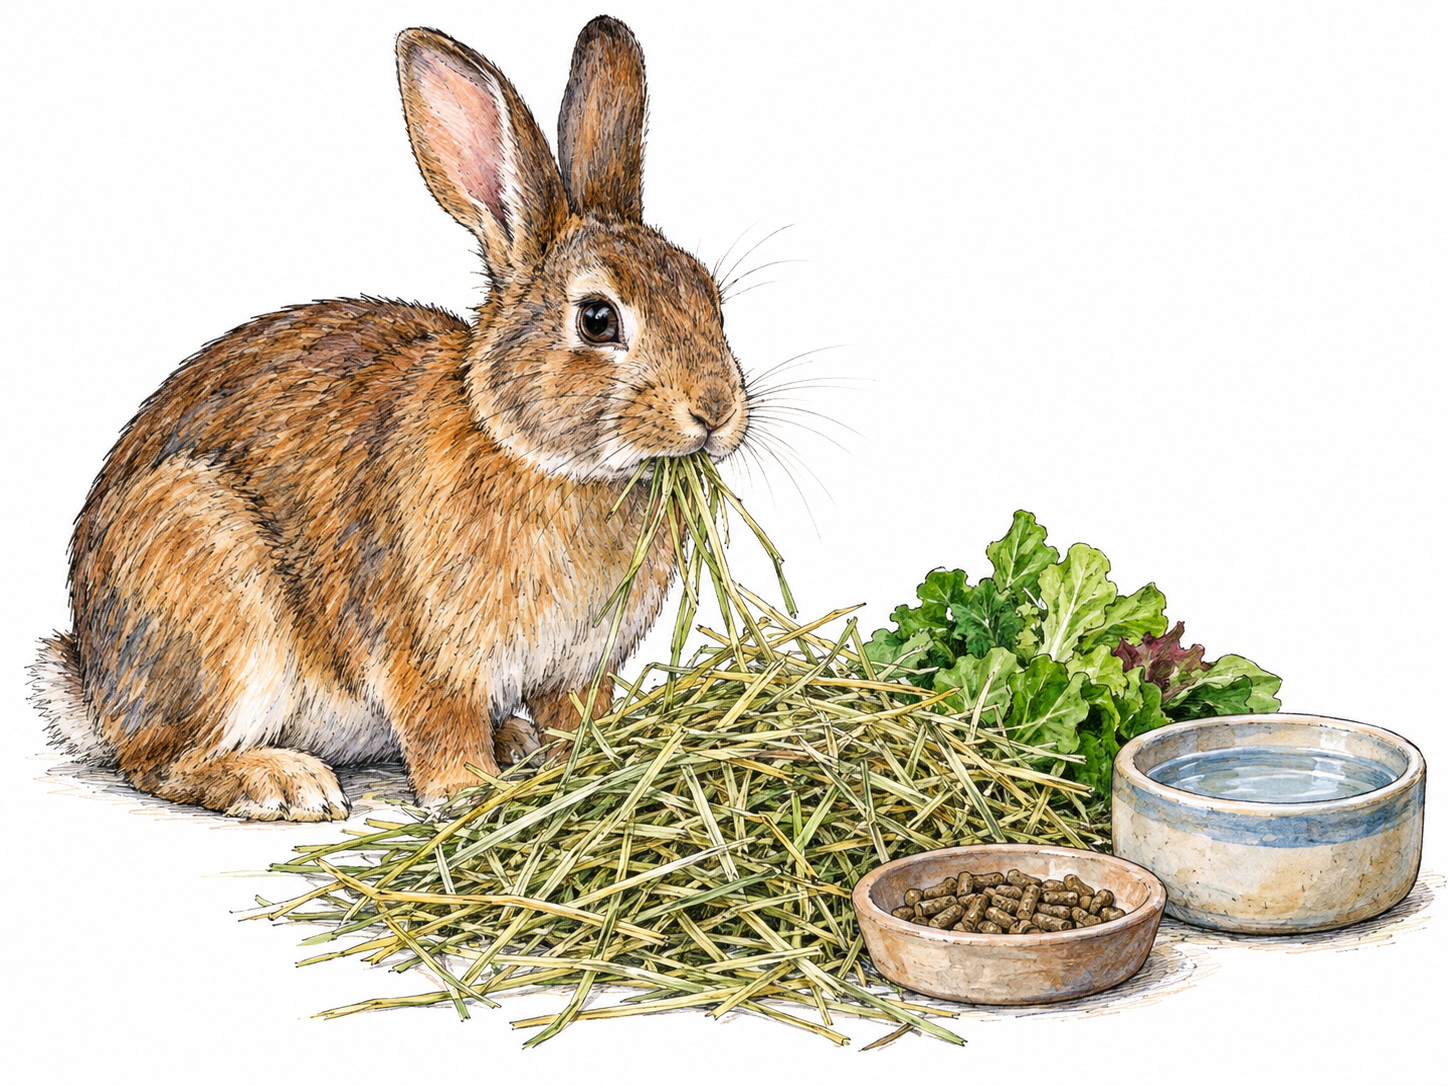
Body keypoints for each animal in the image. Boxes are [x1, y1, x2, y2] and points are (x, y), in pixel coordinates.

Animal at [28, 16, 750, 821]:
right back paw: (287, 784)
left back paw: (512, 743)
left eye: (710, 297)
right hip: (210, 591)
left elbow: (575, 712)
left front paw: (588, 759)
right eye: (598, 319)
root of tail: (94, 687)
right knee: (160, 761)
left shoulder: (577, 666)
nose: (716, 411)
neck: (527, 449)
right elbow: (440, 724)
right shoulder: (424, 652)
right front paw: (468, 794)